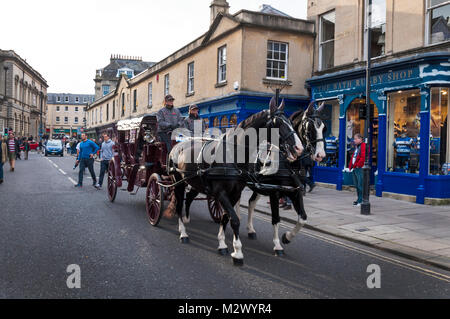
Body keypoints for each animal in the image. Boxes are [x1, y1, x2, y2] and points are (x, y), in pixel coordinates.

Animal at [166, 99, 302, 266]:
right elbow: (235, 220)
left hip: (195, 182)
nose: (299, 148)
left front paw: (222, 244)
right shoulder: (221, 193)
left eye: (291, 121)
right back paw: (183, 232)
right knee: (179, 204)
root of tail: (177, 146)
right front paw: (237, 252)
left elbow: (226, 217)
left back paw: (187, 218)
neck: (232, 154)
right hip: (178, 182)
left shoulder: (235, 193)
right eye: (279, 122)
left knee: (190, 197)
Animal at [246, 101, 326, 256]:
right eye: (310, 127)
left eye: (323, 128)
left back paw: (250, 230)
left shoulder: (295, 190)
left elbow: (303, 218)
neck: (289, 162)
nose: (321, 155)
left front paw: (287, 237)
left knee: (250, 203)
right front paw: (277, 245)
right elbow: (276, 218)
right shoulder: (274, 192)